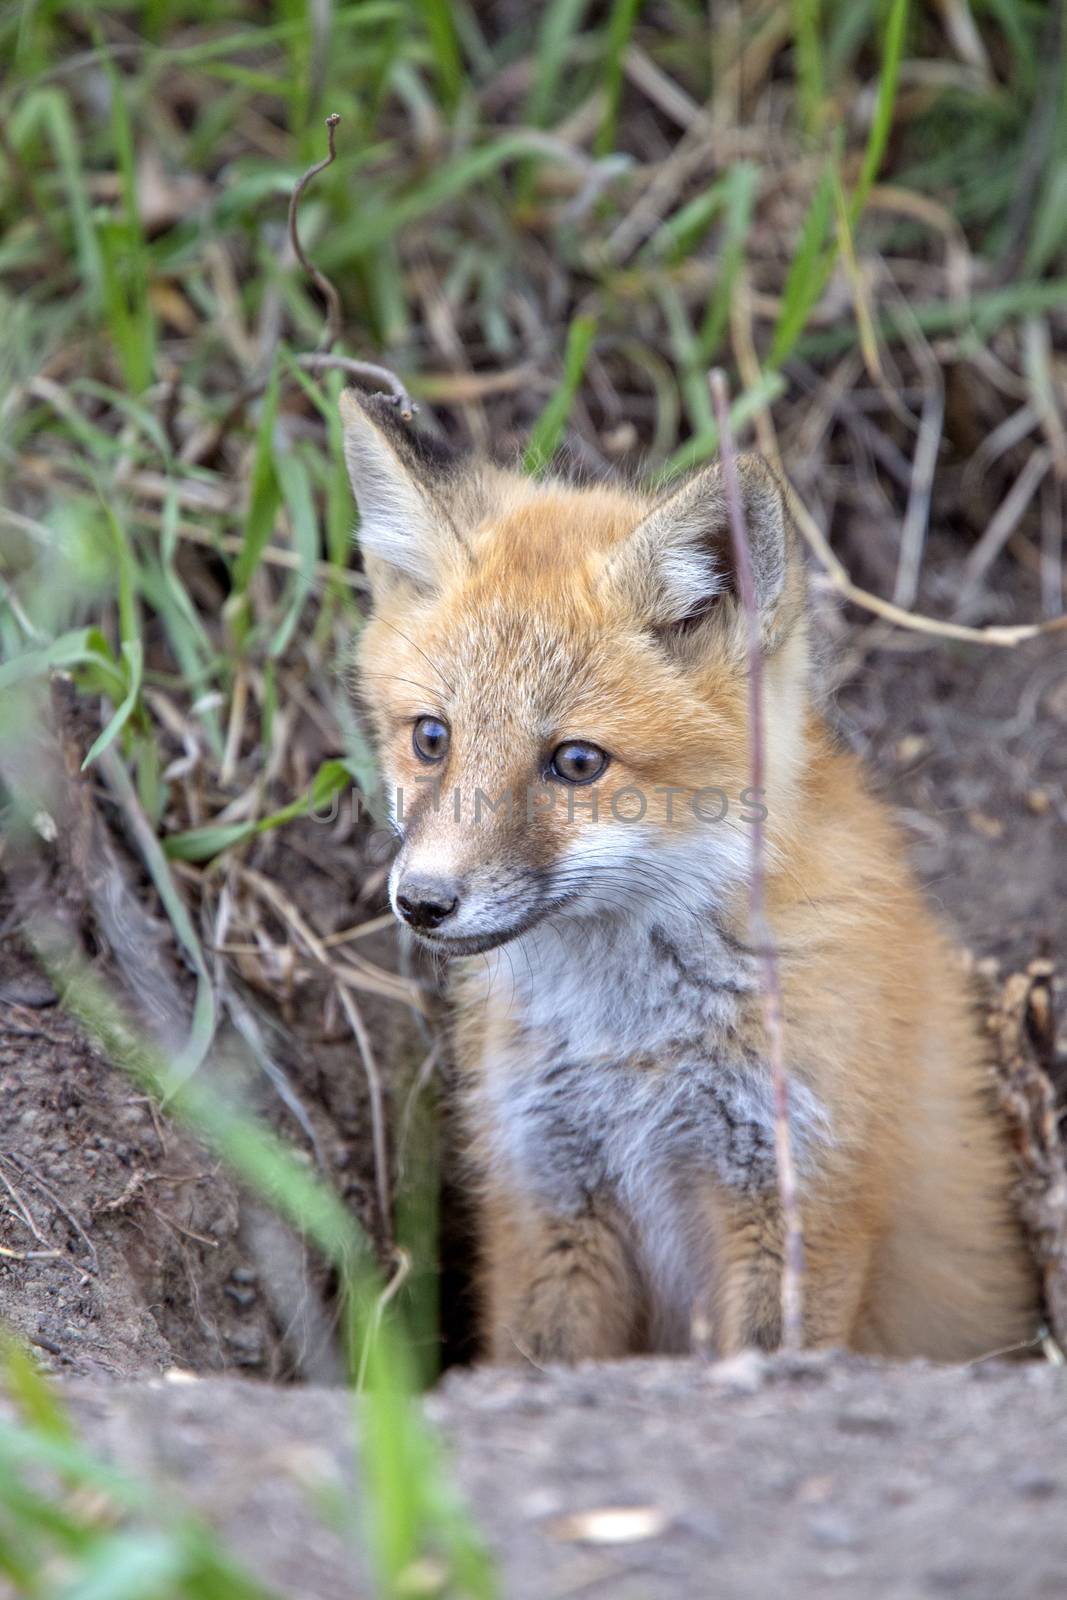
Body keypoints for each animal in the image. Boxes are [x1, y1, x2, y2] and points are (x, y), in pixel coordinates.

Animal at [343, 387, 1043, 1363]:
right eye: (431, 737)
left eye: (576, 762)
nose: (422, 903)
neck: (628, 1048)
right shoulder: (548, 1195)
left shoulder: (796, 1200)